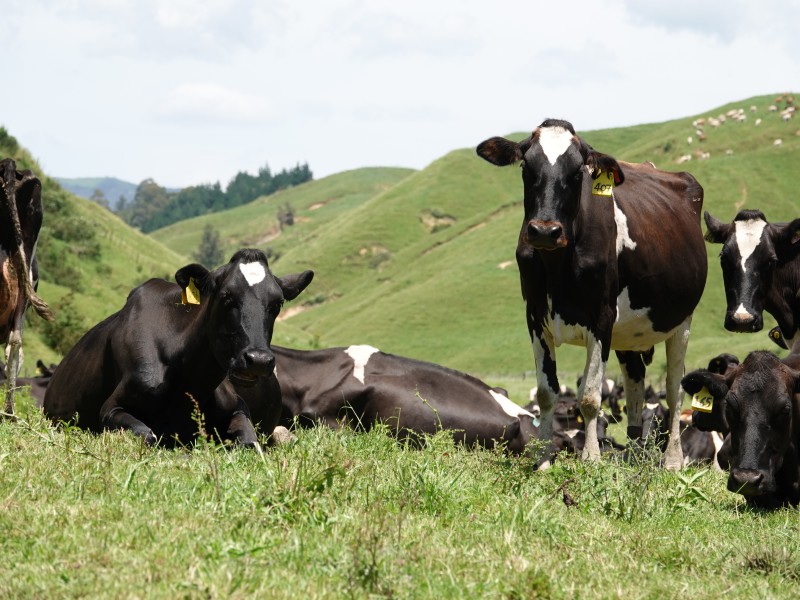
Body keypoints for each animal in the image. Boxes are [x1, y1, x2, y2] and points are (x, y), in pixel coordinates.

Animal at [42, 246, 312, 448]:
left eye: (277, 303)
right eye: (226, 296)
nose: (258, 360)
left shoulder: (238, 407)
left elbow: (249, 443)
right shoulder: (111, 407)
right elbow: (148, 435)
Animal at [476, 119, 708, 466]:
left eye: (578, 172)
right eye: (526, 167)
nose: (544, 230)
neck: (557, 267)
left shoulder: (601, 318)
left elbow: (589, 396)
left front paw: (592, 458)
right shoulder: (534, 316)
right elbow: (546, 392)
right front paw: (543, 458)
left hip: (682, 321)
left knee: (674, 388)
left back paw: (671, 460)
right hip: (630, 332)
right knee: (636, 386)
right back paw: (634, 455)